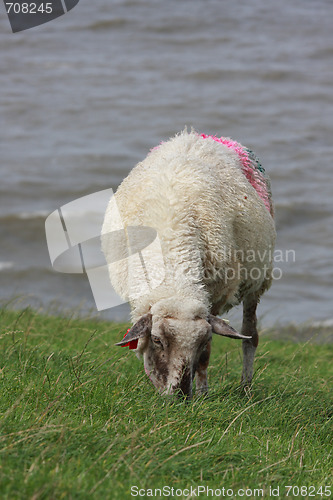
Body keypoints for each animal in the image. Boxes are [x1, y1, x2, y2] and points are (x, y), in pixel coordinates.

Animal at [101, 129, 274, 398]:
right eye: (157, 340)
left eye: (202, 342)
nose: (180, 394)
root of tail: (199, 135)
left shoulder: (213, 296)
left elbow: (207, 357)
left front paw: (202, 393)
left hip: (257, 280)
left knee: (250, 334)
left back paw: (245, 386)